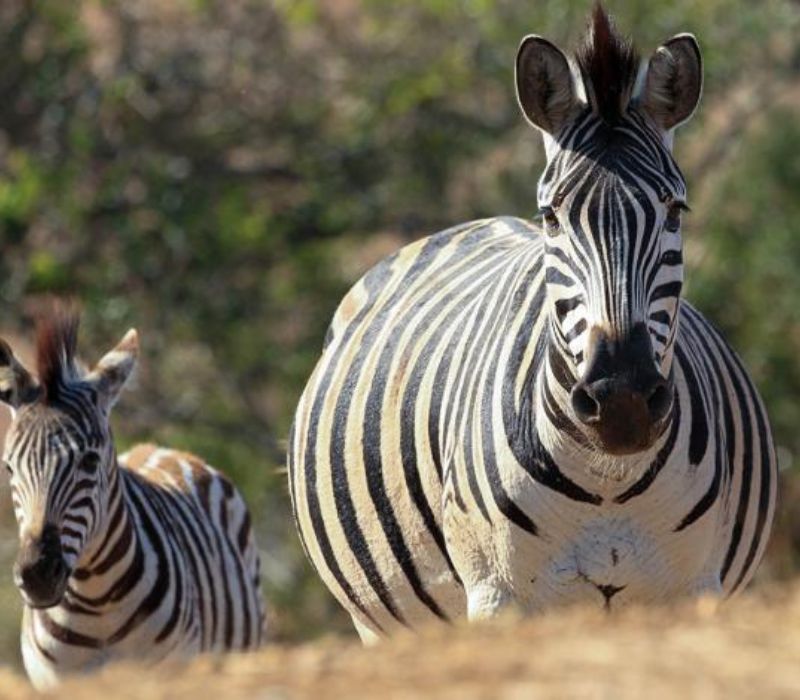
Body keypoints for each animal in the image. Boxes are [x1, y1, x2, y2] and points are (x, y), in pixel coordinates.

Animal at [288, 5, 776, 644]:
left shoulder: (695, 589)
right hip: (379, 625)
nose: (622, 401)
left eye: (675, 210)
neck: (609, 479)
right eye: (551, 215)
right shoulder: (498, 596)